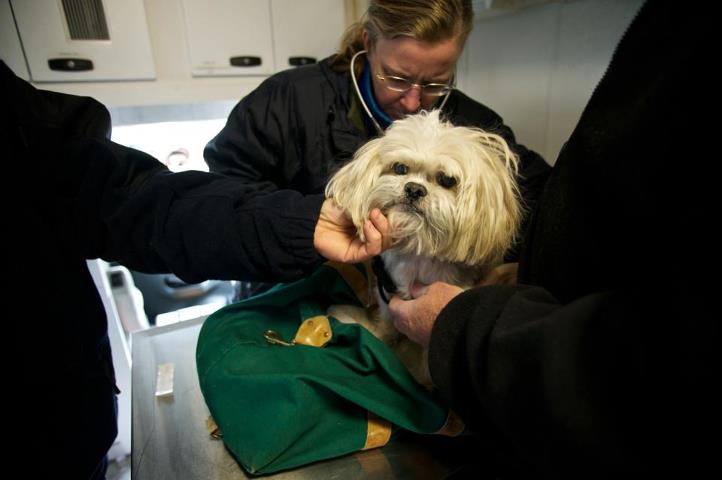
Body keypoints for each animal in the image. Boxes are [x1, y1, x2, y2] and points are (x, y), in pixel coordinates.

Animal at [324, 110, 520, 388]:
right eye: (400, 168)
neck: (419, 254)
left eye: (447, 180)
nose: (414, 189)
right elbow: (387, 325)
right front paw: (379, 337)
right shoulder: (388, 295)